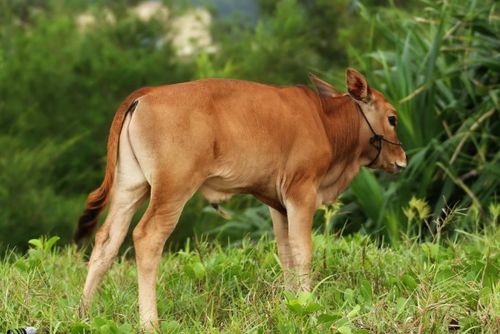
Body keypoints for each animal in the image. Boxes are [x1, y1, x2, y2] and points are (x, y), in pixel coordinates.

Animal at [77, 68, 406, 332]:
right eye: (392, 118)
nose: (402, 159)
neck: (325, 121)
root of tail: (147, 93)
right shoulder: (301, 192)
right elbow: (303, 251)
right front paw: (307, 304)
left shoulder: (278, 203)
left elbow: (286, 252)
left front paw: (291, 302)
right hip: (172, 190)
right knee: (147, 237)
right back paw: (149, 323)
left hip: (130, 187)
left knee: (107, 240)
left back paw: (83, 314)